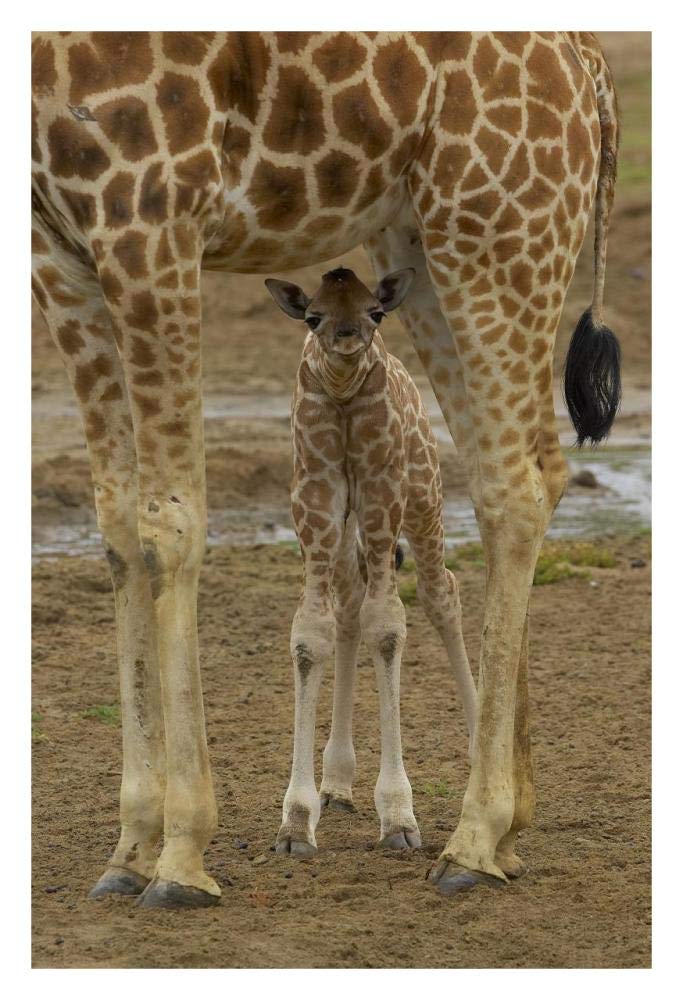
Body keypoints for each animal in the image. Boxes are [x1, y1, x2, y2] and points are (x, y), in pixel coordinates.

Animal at [265, 265, 478, 856]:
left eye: (376, 313)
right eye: (312, 316)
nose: (346, 341)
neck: (341, 398)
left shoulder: (386, 493)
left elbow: (387, 626)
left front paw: (400, 819)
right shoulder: (314, 500)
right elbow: (310, 634)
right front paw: (297, 820)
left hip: (424, 494)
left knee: (441, 591)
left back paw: (482, 747)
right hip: (345, 533)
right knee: (348, 607)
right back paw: (336, 783)